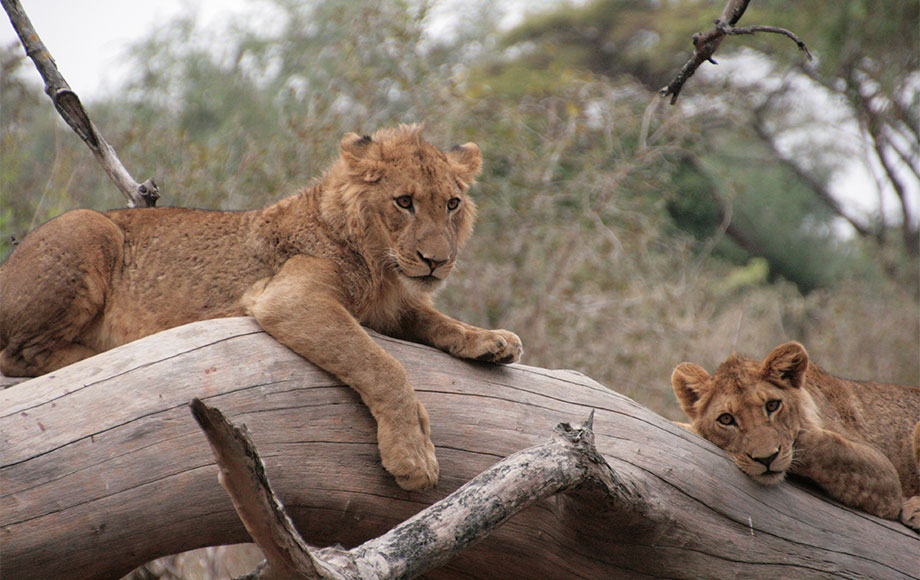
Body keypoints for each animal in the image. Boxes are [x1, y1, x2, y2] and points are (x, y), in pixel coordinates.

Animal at [0, 124, 520, 492]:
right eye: (404, 202)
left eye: (452, 203)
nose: (438, 261)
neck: (381, 264)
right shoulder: (289, 298)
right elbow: (384, 366)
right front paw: (413, 455)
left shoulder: (389, 307)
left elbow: (435, 319)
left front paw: (491, 340)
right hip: (90, 228)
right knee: (20, 354)